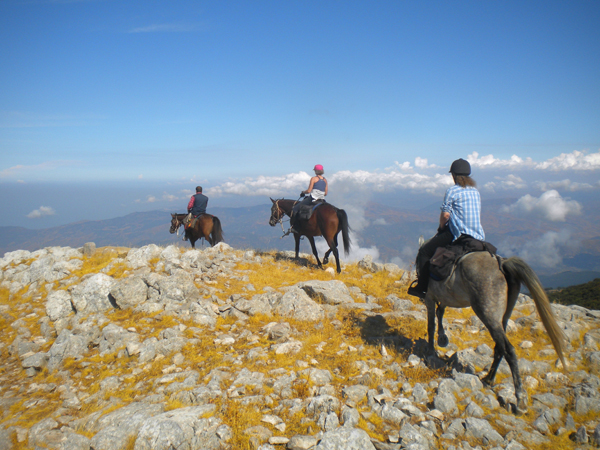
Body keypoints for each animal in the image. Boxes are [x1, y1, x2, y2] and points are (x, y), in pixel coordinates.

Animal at [422, 246, 568, 414]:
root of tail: (502, 263)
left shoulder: (429, 297)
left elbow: (431, 324)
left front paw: (430, 351)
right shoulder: (444, 298)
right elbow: (440, 313)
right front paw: (442, 338)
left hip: (488, 314)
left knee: (508, 350)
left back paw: (520, 400)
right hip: (502, 318)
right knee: (499, 347)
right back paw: (489, 379)